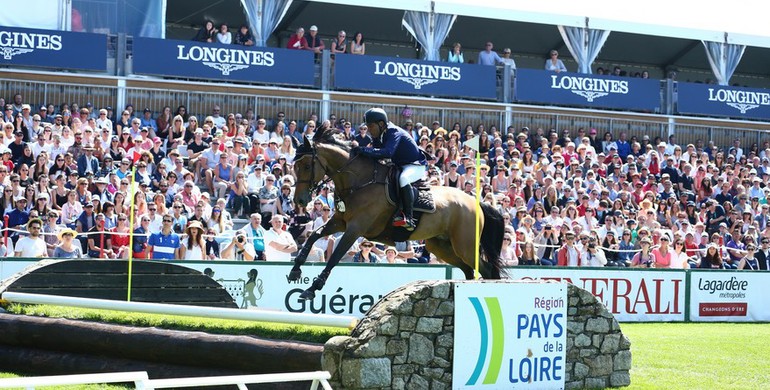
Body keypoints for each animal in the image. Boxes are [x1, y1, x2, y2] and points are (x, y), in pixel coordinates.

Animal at [288, 125, 504, 298]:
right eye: (294, 166)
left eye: (306, 165)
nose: (300, 201)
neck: (358, 182)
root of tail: (476, 203)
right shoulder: (339, 222)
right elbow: (313, 236)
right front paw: (295, 271)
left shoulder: (355, 229)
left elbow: (334, 257)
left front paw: (312, 289)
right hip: (441, 246)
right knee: (469, 270)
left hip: (464, 245)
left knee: (485, 269)